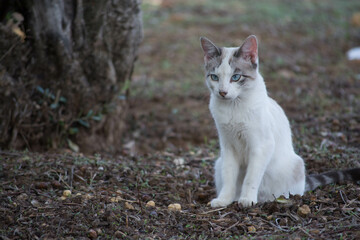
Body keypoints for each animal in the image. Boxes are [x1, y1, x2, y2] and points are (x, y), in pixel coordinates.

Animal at [200, 34, 360, 207]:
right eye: (214, 77)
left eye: (236, 77)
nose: (222, 92)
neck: (233, 107)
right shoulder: (228, 146)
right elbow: (229, 176)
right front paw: (224, 200)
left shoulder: (261, 146)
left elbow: (250, 177)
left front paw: (247, 200)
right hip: (219, 162)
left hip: (295, 166)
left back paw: (272, 199)